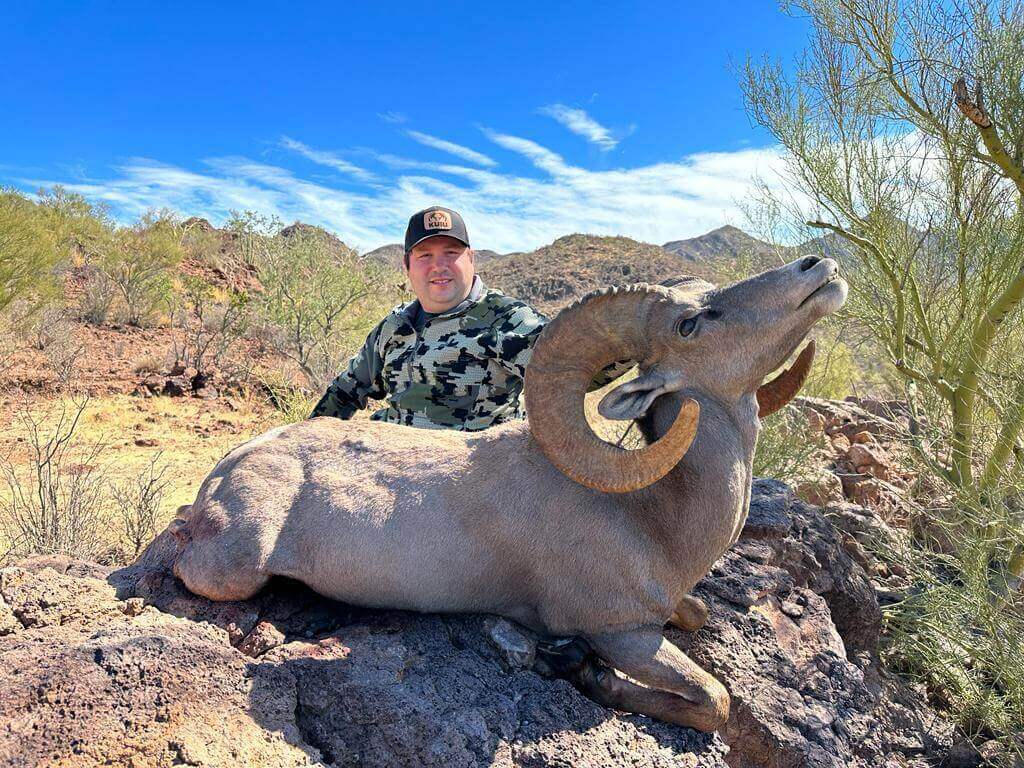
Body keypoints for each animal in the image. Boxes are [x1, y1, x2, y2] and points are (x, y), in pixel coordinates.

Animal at [169, 255, 847, 732]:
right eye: (689, 323)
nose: (817, 267)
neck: (650, 517)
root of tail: (227, 470)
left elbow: (700, 618)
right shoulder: (622, 633)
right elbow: (715, 700)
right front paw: (581, 672)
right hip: (233, 569)